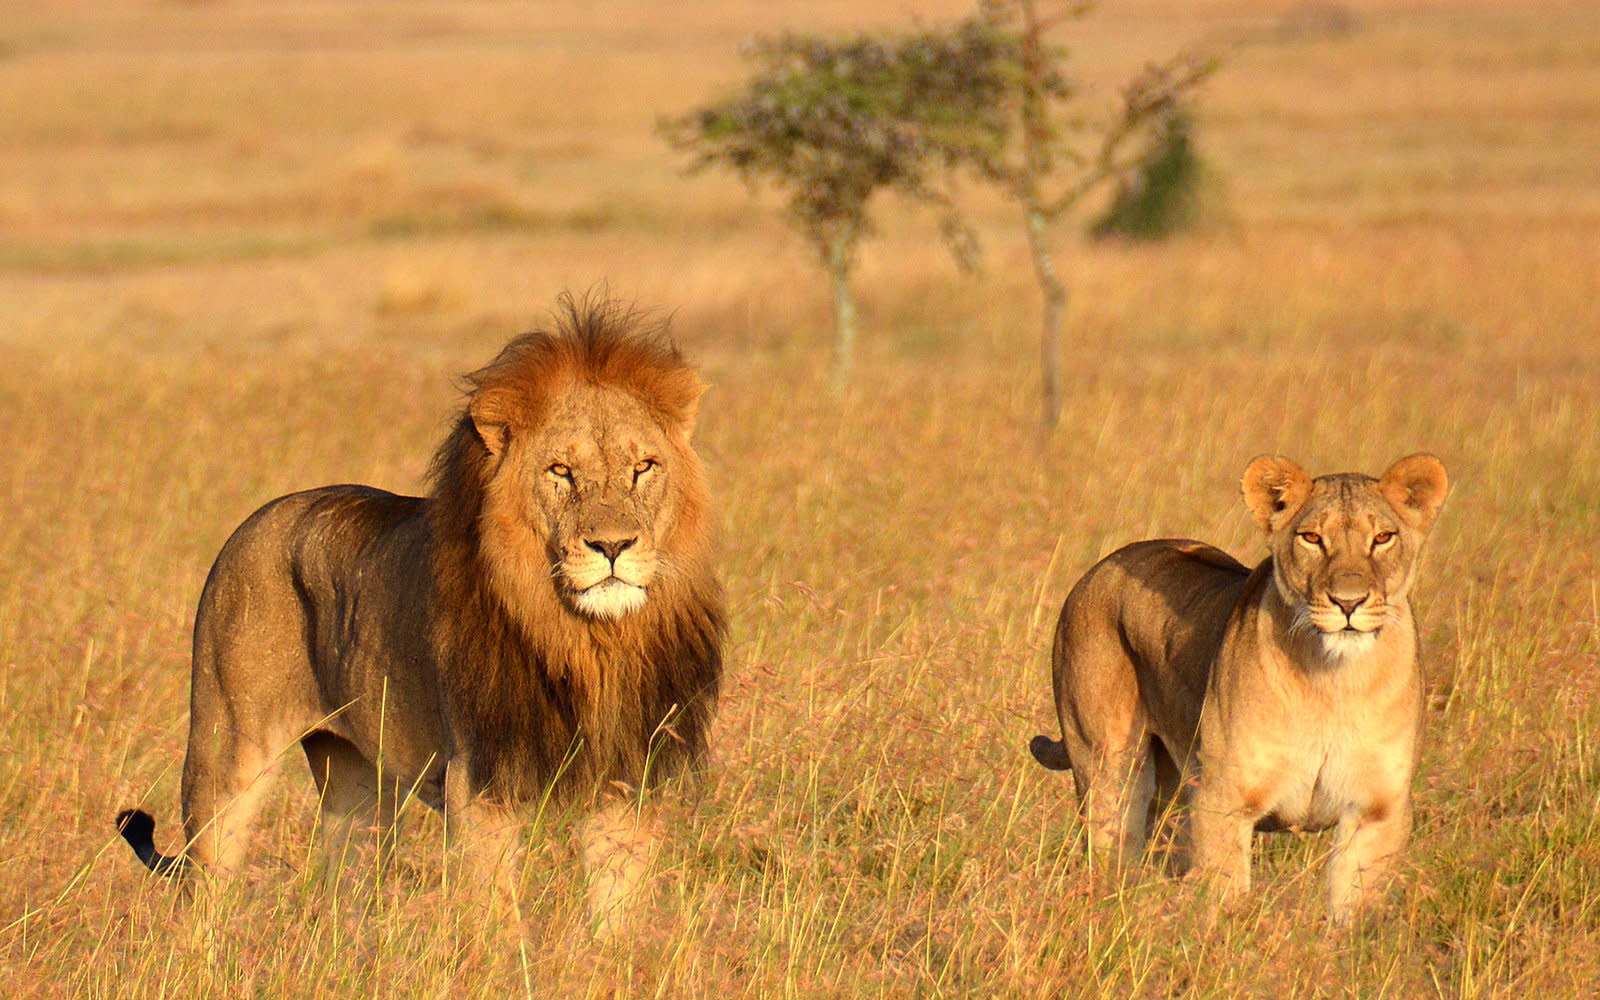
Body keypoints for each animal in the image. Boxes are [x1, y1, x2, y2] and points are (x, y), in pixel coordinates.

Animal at [116, 292, 729, 934]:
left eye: (644, 468)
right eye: (560, 471)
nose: (613, 546)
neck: (587, 640)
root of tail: (256, 520)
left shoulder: (628, 775)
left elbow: (617, 911)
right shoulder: (478, 780)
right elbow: (495, 915)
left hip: (358, 786)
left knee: (347, 882)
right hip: (225, 752)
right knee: (203, 882)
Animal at [1030, 451, 1459, 921]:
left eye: (1382, 537)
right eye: (1312, 538)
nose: (1349, 602)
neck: (1334, 681)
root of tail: (1099, 567)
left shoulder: (1376, 811)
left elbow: (1351, 911)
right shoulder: (1223, 801)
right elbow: (1224, 900)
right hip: (1109, 766)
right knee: (1112, 850)